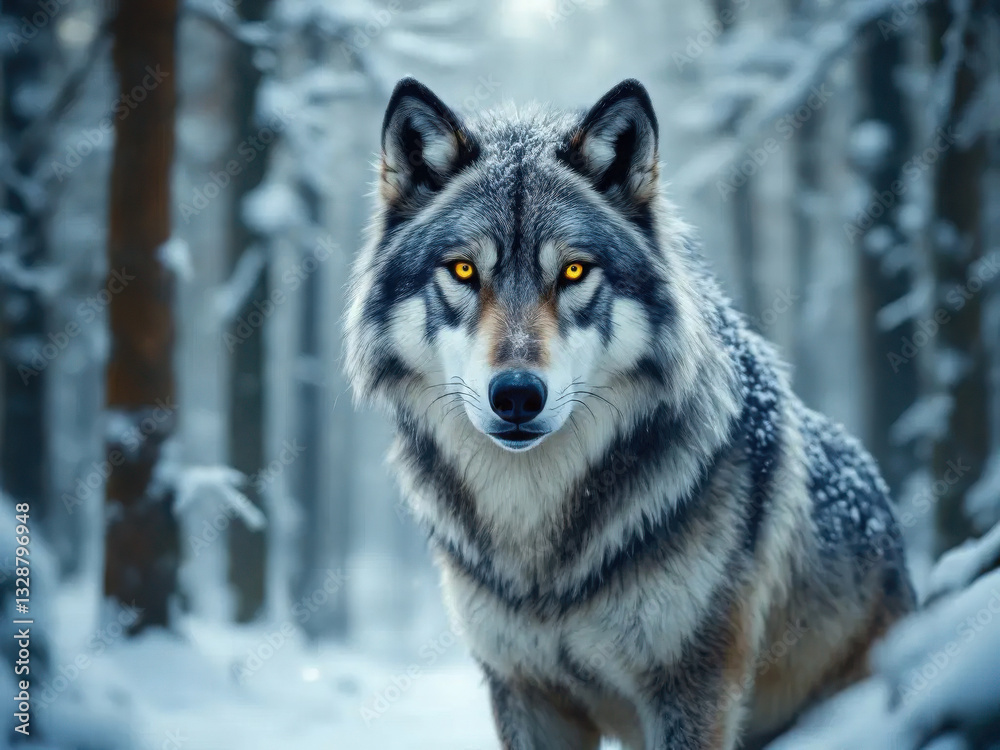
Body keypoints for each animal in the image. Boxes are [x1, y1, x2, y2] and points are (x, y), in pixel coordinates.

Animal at [345, 77, 916, 750]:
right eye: (463, 269)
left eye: (572, 271)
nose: (517, 395)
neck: (537, 539)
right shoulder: (524, 690)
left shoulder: (694, 687)